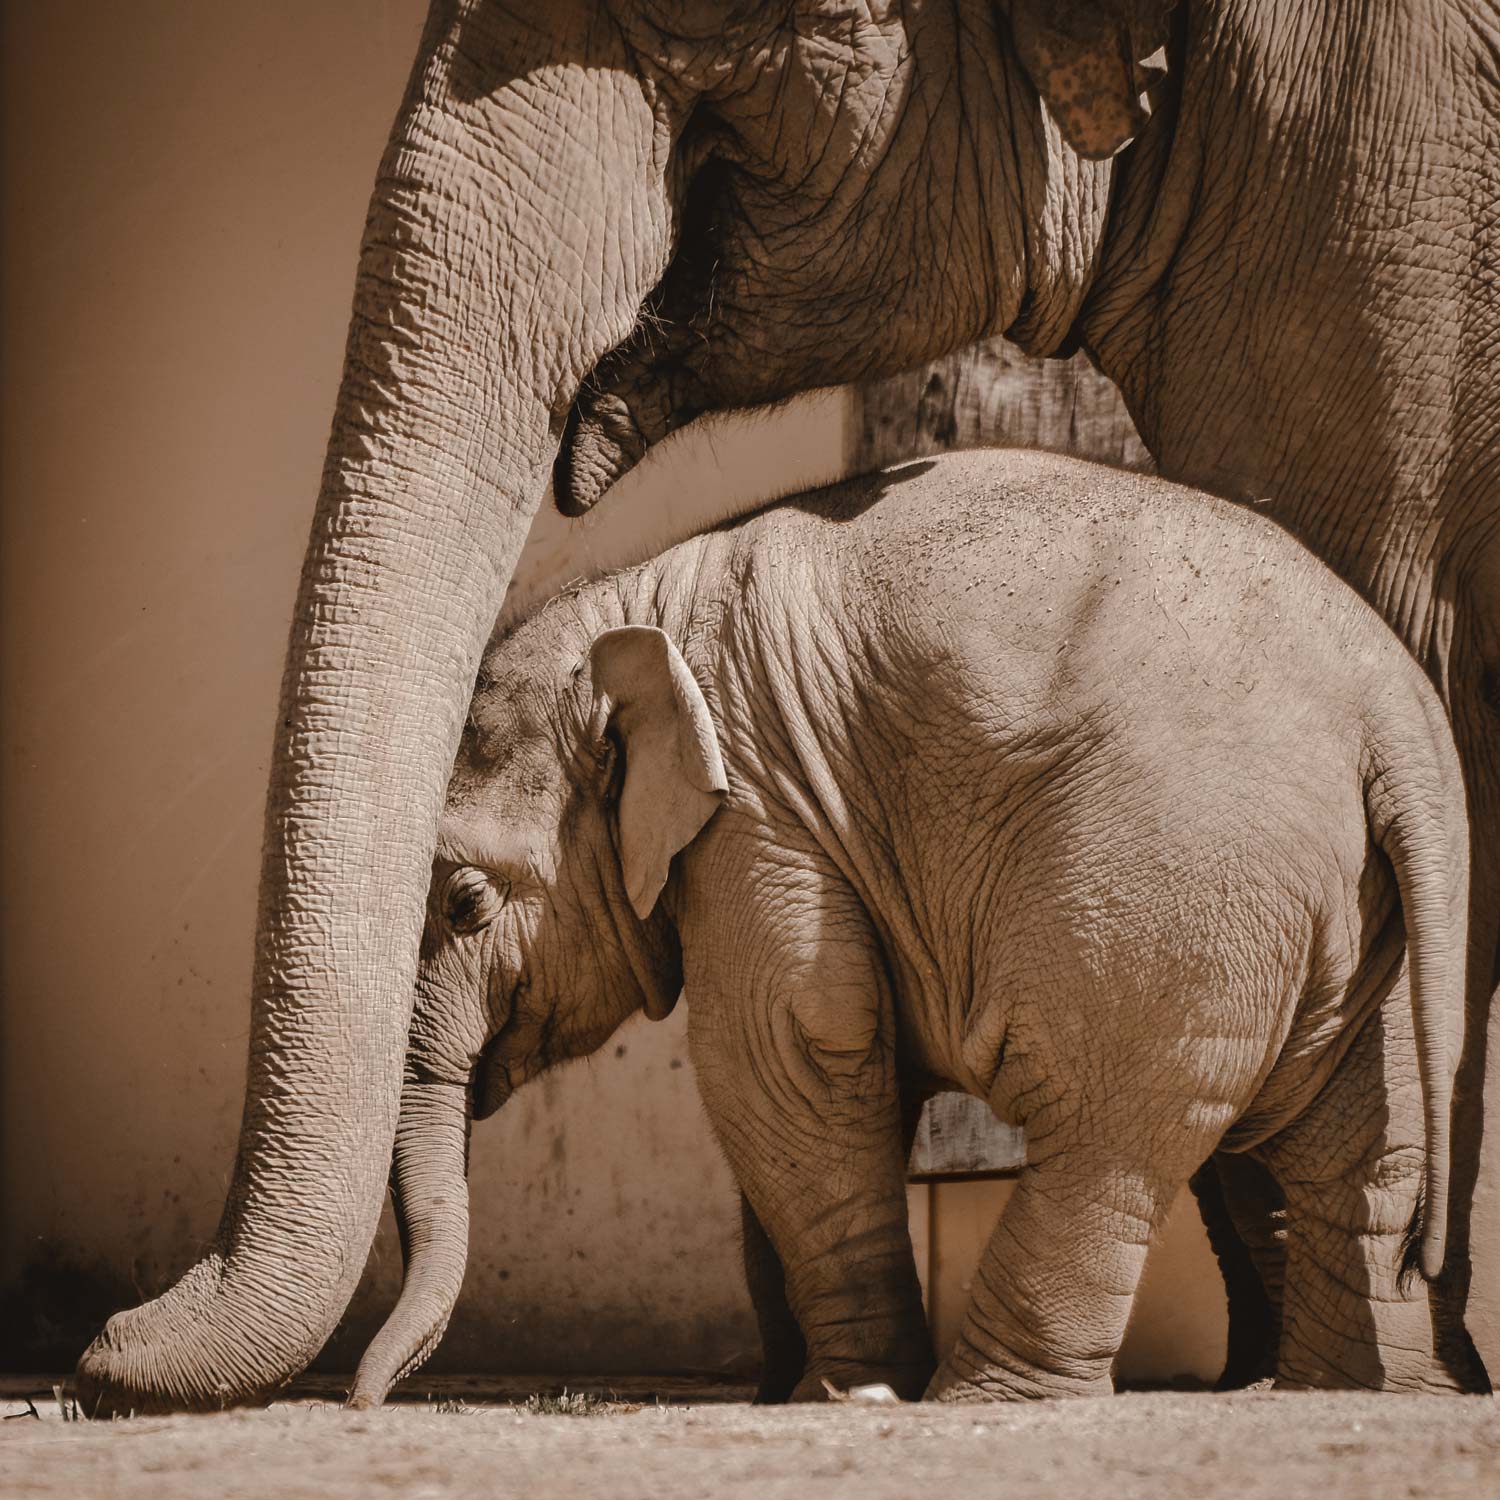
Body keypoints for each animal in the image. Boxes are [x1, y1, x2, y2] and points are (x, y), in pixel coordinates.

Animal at [348, 444, 1464, 1404]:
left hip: (1184, 878)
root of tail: (1396, 710)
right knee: (1362, 1148)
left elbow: (787, 1054)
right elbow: (796, 1084)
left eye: (464, 900)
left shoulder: (761, 810)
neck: (636, 604)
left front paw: (834, 1392)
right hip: (1356, 911)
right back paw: (1361, 1390)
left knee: (1105, 1138)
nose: (362, 1397)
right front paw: (789, 1389)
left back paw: (987, 1394)